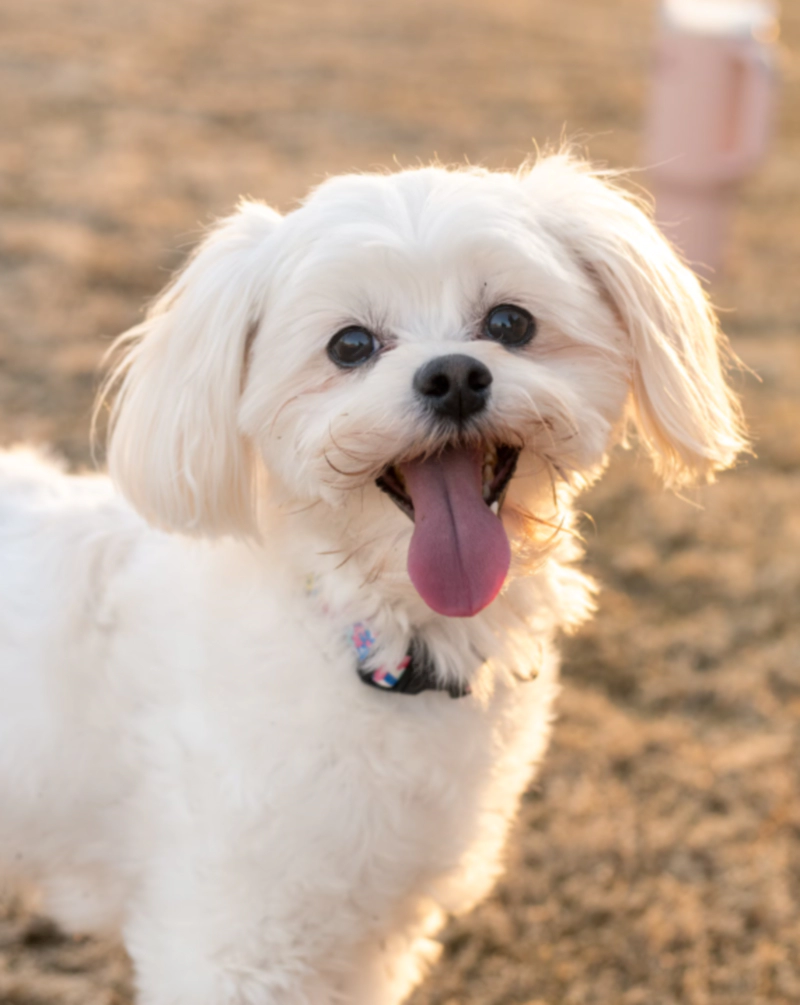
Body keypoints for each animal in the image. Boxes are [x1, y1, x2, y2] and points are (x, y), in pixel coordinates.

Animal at [0, 156, 747, 1005]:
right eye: (350, 345)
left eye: (510, 324)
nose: (453, 375)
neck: (379, 637)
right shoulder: (229, 933)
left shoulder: (370, 933)